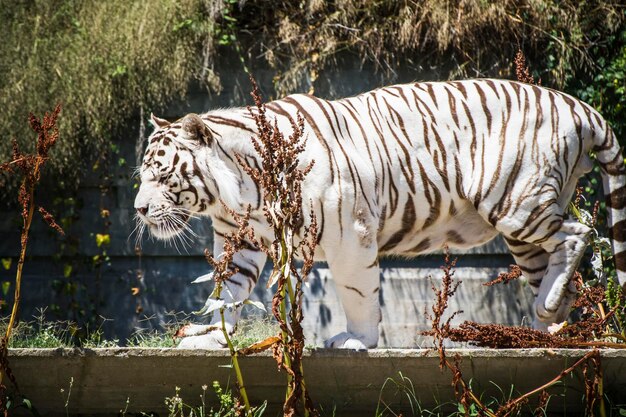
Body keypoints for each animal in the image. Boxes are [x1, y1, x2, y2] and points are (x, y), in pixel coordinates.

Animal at [134, 78, 624, 348]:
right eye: (143, 175)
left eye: (160, 174)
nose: (137, 208)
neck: (237, 193)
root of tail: (581, 107)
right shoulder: (240, 240)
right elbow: (227, 291)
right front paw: (213, 337)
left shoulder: (350, 229)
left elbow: (357, 292)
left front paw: (356, 341)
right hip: (523, 228)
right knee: (555, 266)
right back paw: (545, 328)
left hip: (516, 201)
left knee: (581, 233)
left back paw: (546, 312)